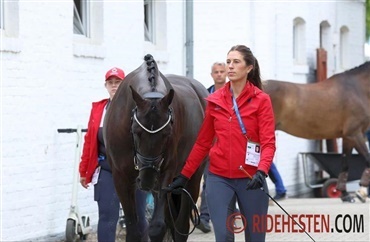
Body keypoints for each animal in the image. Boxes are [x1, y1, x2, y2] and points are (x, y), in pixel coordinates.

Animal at [102, 54, 210, 242]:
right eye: (136, 131)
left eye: (167, 133)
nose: (148, 180)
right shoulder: (121, 177)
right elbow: (133, 231)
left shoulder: (166, 173)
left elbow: (157, 228)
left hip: (191, 177)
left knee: (180, 226)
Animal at [264, 62, 370, 202]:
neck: (357, 89)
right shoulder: (355, 134)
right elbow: (368, 158)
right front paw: (361, 191)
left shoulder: (348, 137)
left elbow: (345, 164)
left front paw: (345, 194)